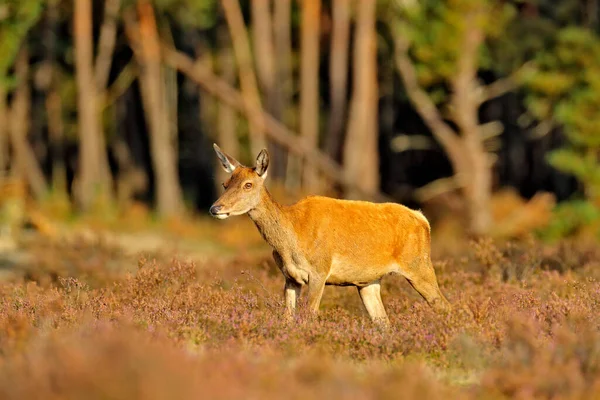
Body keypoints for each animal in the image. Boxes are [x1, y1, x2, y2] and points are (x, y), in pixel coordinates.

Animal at [211, 145, 450, 324]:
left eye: (248, 184)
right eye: (225, 184)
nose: (215, 208)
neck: (291, 239)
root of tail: (423, 219)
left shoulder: (319, 270)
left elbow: (309, 316)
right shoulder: (290, 277)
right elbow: (287, 319)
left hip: (419, 265)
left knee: (444, 305)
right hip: (369, 282)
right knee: (384, 322)